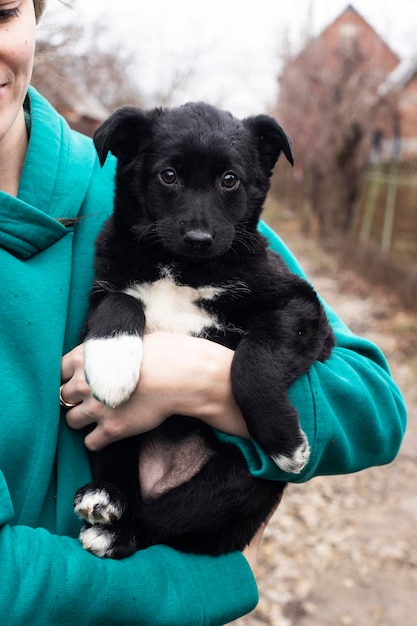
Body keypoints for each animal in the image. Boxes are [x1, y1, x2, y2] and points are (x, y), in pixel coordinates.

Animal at [74, 101, 334, 556]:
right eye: (168, 175)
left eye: (229, 180)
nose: (199, 237)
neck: (185, 269)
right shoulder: (101, 290)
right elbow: (123, 299)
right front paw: (111, 366)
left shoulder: (301, 307)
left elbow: (253, 360)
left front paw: (285, 442)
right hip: (106, 435)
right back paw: (106, 497)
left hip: (238, 482)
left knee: (163, 523)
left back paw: (117, 530)